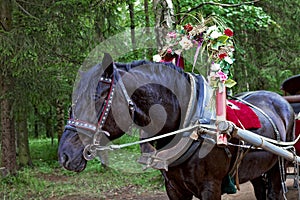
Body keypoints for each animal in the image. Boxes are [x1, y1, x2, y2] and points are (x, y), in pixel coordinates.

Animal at [58, 53, 296, 200]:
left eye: (97, 98)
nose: (64, 154)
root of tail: (280, 100)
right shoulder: (174, 188)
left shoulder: (211, 187)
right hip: (258, 170)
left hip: (279, 166)